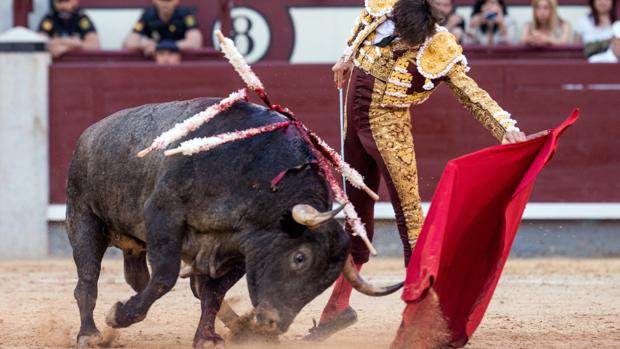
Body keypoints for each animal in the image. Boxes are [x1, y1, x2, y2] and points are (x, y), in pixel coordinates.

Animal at [66, 96, 402, 346]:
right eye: (300, 257)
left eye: (326, 282)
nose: (272, 324)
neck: (251, 175)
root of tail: (90, 133)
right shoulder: (163, 212)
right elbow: (164, 278)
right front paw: (119, 315)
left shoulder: (244, 249)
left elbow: (213, 293)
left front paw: (207, 337)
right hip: (82, 218)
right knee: (88, 280)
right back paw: (90, 334)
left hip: (136, 241)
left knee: (149, 278)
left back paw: (237, 325)